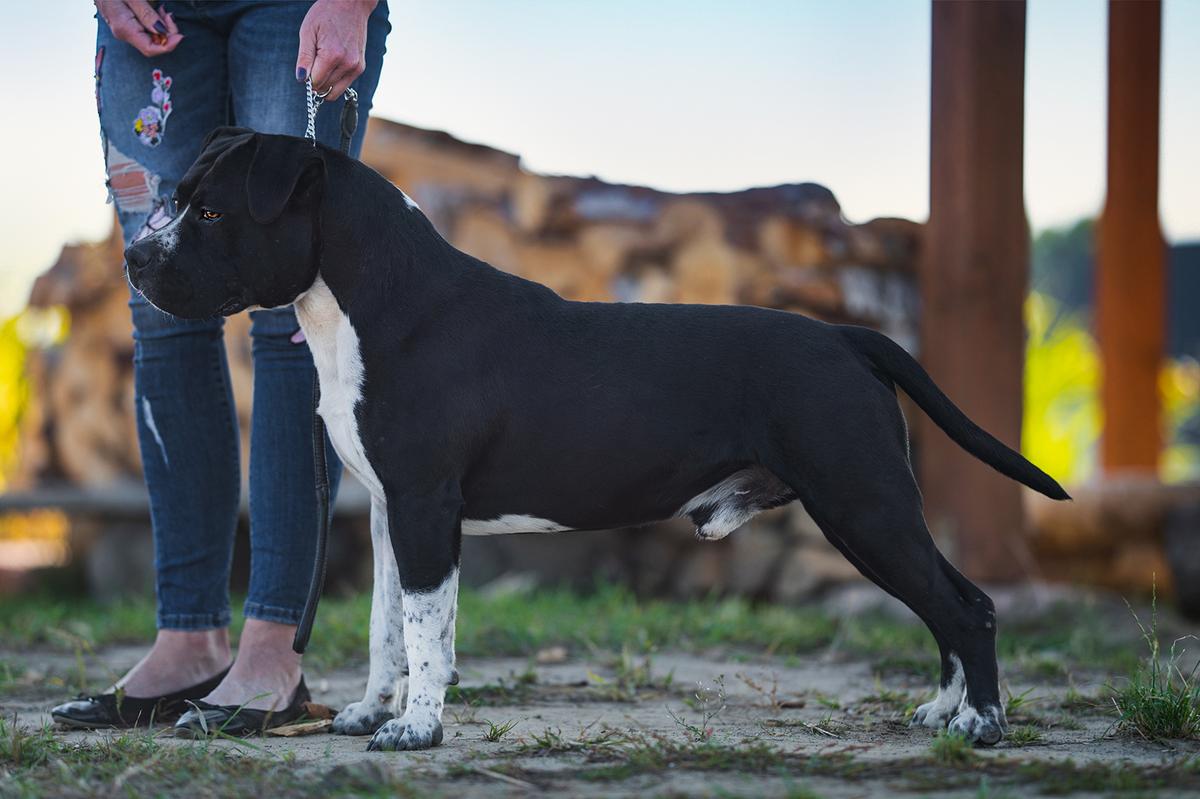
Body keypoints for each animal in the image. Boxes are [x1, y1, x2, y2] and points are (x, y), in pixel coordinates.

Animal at [126, 127, 1070, 748]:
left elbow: (429, 630)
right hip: (868, 510)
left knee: (967, 607)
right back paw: (944, 712)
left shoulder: (426, 506)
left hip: (862, 502)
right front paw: (369, 712)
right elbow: (387, 626)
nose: (135, 257)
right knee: (950, 606)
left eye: (209, 211)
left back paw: (982, 723)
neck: (373, 299)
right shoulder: (392, 514)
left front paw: (417, 728)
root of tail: (845, 336)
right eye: (175, 200)